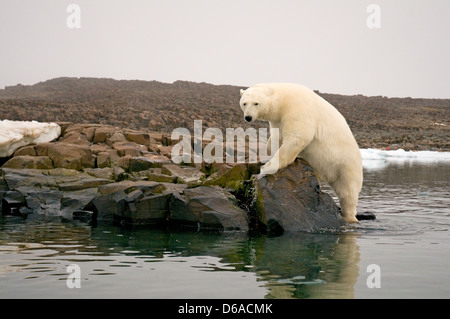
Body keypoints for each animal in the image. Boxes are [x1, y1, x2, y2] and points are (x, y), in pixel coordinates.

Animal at [239, 84, 362, 224]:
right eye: (244, 103)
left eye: (256, 103)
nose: (248, 117)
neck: (283, 100)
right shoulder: (277, 120)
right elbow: (277, 137)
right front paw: (270, 149)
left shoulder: (297, 110)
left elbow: (298, 137)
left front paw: (267, 167)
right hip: (321, 166)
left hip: (346, 164)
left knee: (348, 192)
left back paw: (350, 217)